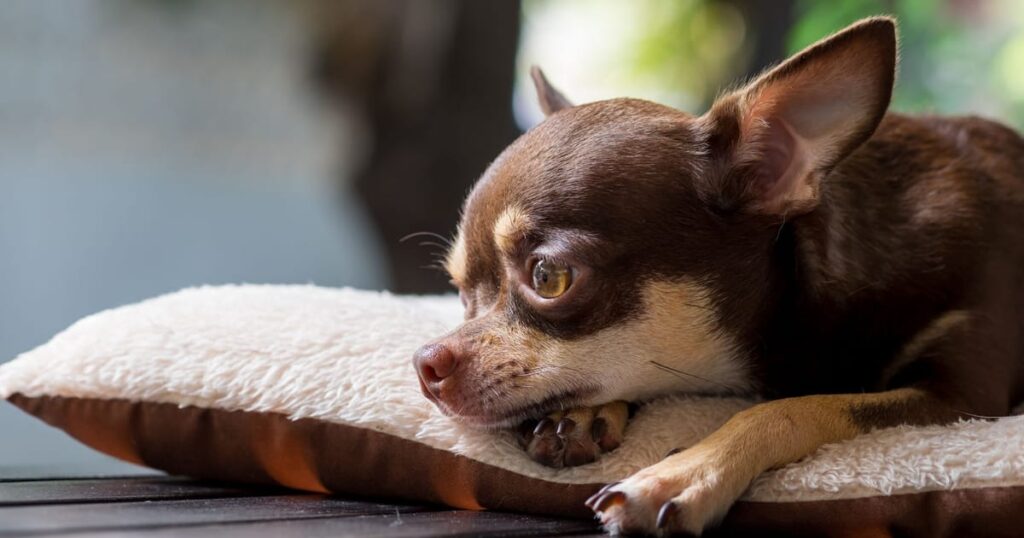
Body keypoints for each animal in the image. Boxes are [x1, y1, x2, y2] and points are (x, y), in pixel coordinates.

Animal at [409, 16, 1024, 532]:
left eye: (549, 277)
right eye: (460, 292)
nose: (425, 363)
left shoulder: (962, 395)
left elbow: (798, 407)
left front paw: (680, 474)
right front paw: (582, 414)